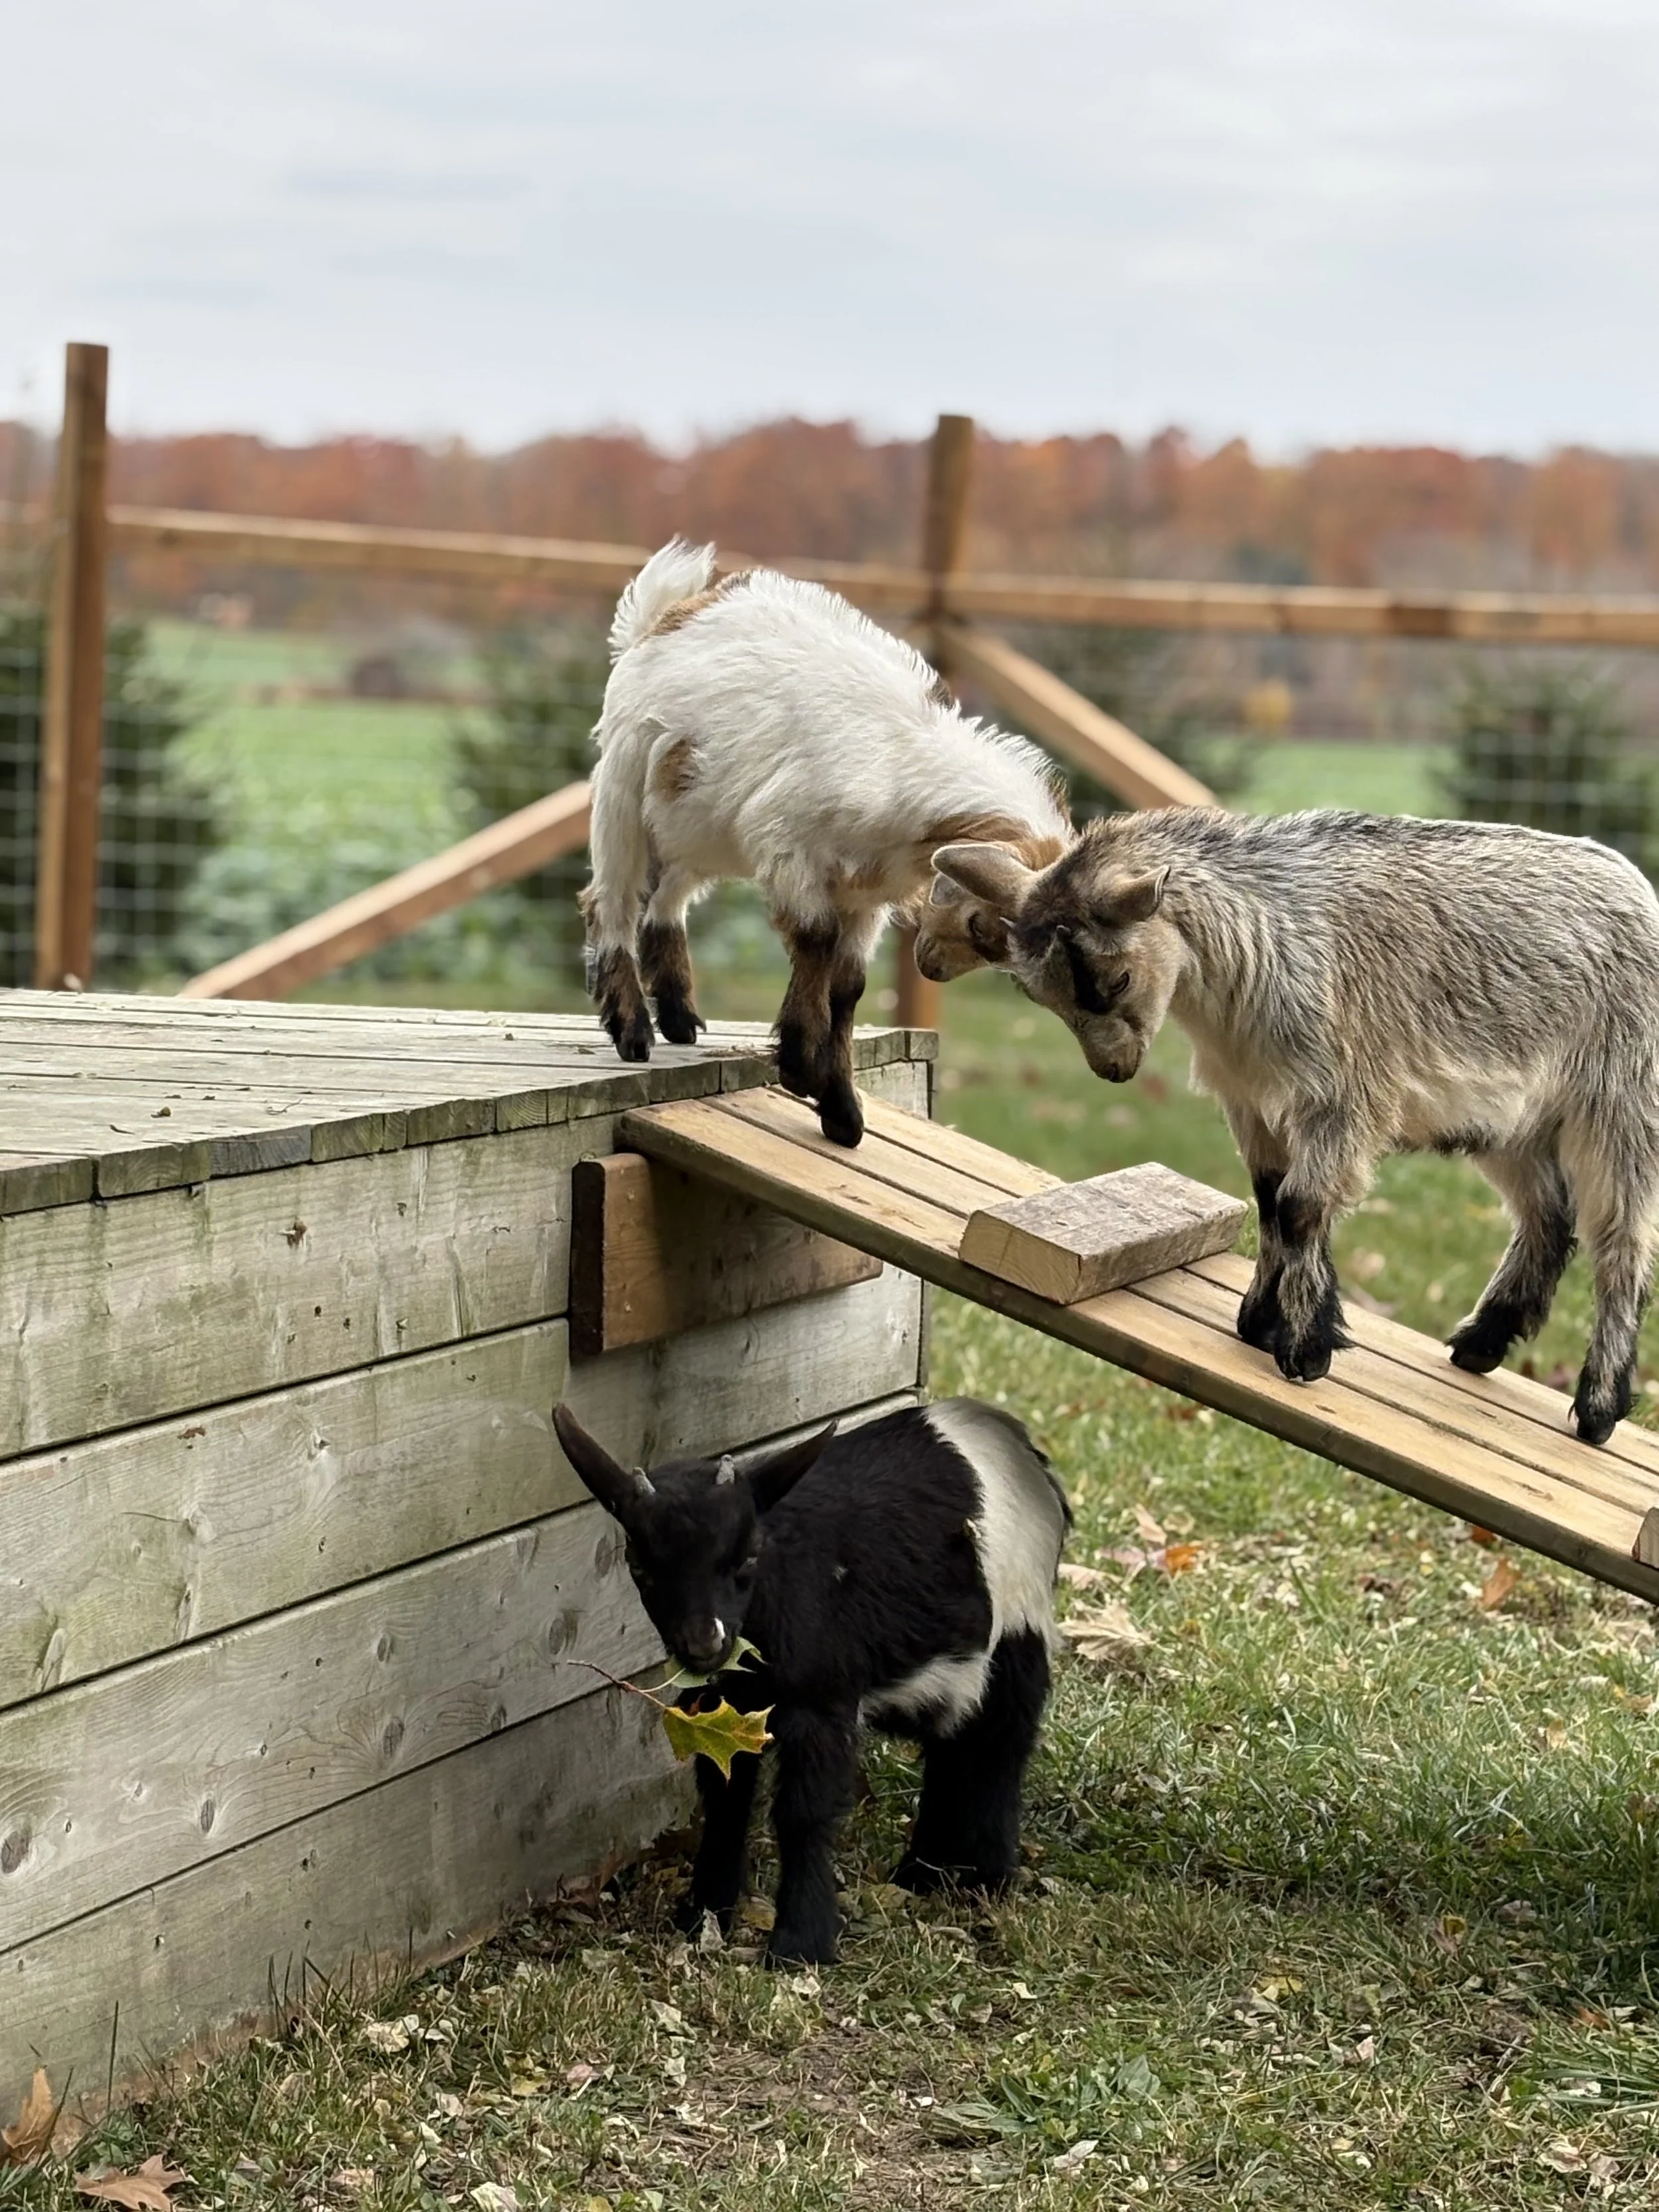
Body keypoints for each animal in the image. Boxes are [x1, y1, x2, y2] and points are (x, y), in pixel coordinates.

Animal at [552, 1398, 1069, 1964]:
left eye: (748, 1555)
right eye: (641, 1565)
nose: (704, 1645)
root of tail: (1021, 1445)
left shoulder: (821, 1701)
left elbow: (804, 1813)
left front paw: (801, 1941)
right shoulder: (722, 1707)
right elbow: (725, 1800)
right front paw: (704, 1912)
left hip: (1020, 1628)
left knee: (1003, 1744)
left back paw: (989, 1877)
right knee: (953, 1747)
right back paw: (922, 1872)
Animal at [582, 540, 1070, 1146]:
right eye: (985, 925)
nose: (933, 968)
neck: (899, 757)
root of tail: (667, 613)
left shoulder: (868, 892)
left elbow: (849, 984)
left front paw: (841, 1107)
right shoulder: (789, 847)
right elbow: (816, 938)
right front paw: (801, 1065)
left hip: (699, 821)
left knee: (667, 896)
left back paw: (679, 1016)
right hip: (623, 791)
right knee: (610, 900)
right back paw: (633, 1031)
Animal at [932, 807, 1659, 1445]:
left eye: (1115, 980)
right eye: (1042, 998)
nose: (1114, 1070)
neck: (1256, 947)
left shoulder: (1343, 1097)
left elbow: (1303, 1204)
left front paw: (1306, 1348)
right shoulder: (1251, 1101)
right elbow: (1268, 1200)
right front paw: (1261, 1320)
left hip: (1622, 1105)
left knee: (1621, 1243)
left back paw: (1598, 1406)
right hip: (1512, 1122)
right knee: (1549, 1215)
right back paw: (1482, 1342)